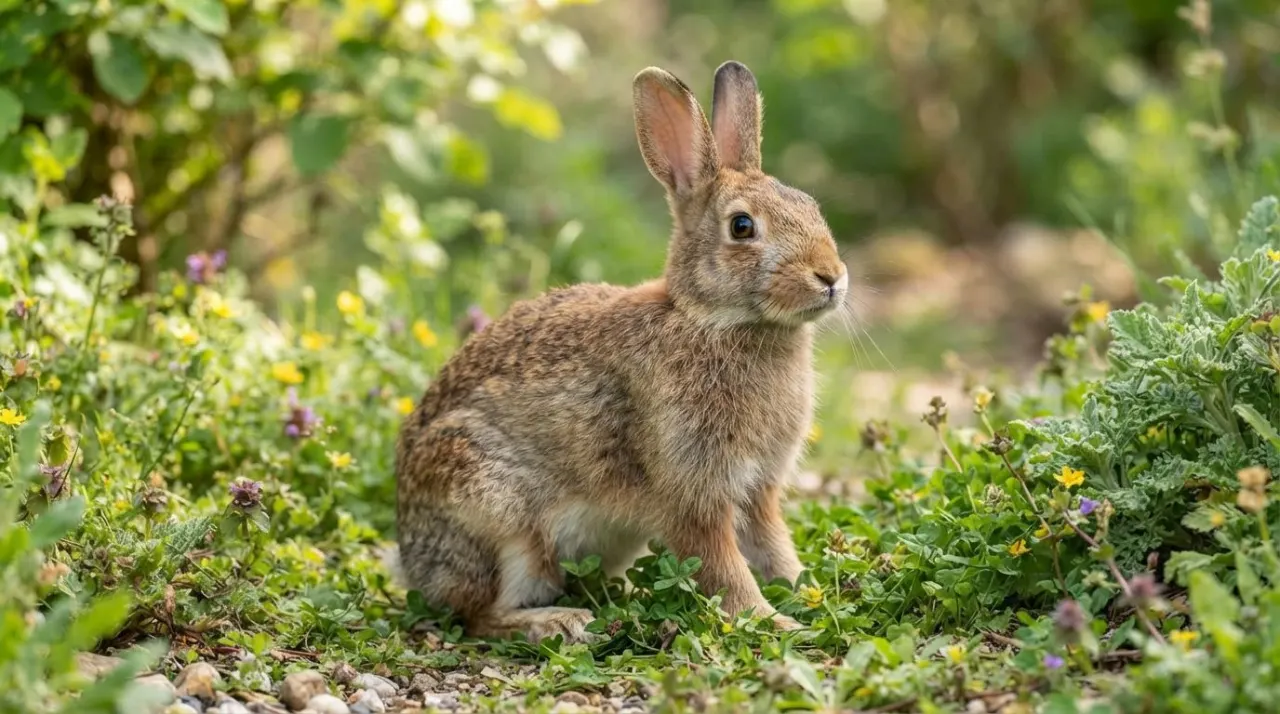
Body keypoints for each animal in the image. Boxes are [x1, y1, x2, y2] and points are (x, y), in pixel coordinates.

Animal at [395, 60, 849, 644]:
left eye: (810, 206)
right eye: (742, 226)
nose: (831, 277)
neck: (710, 318)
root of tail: (412, 560)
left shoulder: (759, 489)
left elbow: (773, 547)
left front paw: (806, 593)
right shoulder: (691, 489)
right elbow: (722, 565)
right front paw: (774, 621)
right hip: (494, 510)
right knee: (479, 614)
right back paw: (558, 622)